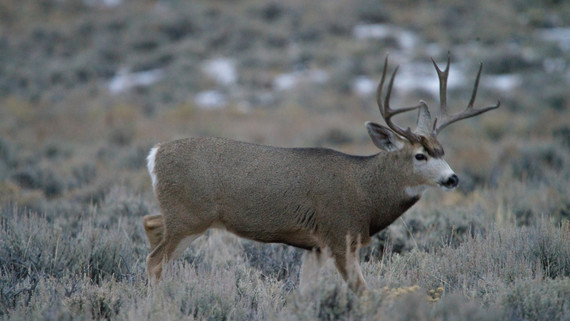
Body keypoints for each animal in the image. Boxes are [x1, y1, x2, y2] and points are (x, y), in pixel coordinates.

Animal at [142, 55, 496, 292]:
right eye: (420, 155)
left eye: (442, 151)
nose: (452, 178)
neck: (365, 192)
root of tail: (154, 154)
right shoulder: (339, 234)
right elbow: (362, 292)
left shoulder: (314, 247)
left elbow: (305, 292)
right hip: (190, 217)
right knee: (155, 260)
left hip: (185, 217)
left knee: (151, 224)